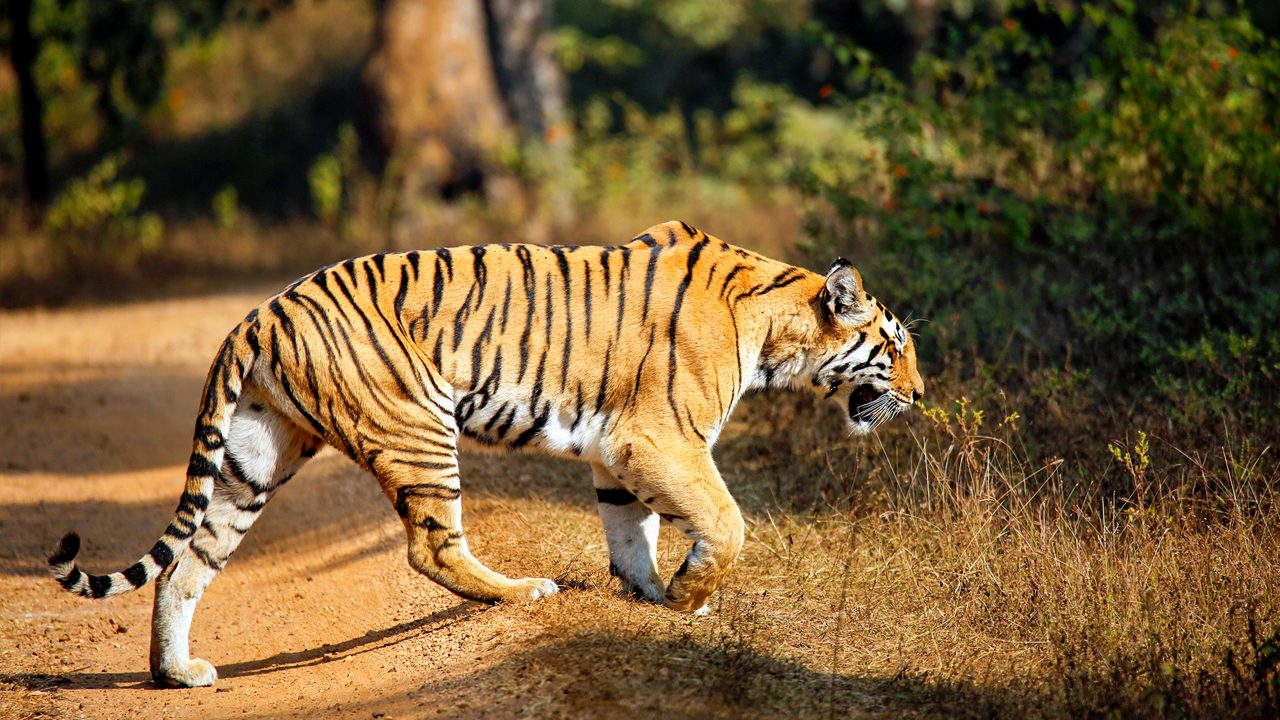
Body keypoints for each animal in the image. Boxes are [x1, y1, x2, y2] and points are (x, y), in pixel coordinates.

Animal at [45, 219, 926, 681]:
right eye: (895, 345)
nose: (920, 395)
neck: (775, 328)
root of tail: (255, 316)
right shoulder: (659, 439)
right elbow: (727, 521)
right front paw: (688, 595)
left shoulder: (620, 452)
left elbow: (630, 532)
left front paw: (650, 594)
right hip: (418, 426)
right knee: (430, 550)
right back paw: (522, 592)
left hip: (254, 459)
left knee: (188, 564)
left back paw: (177, 673)